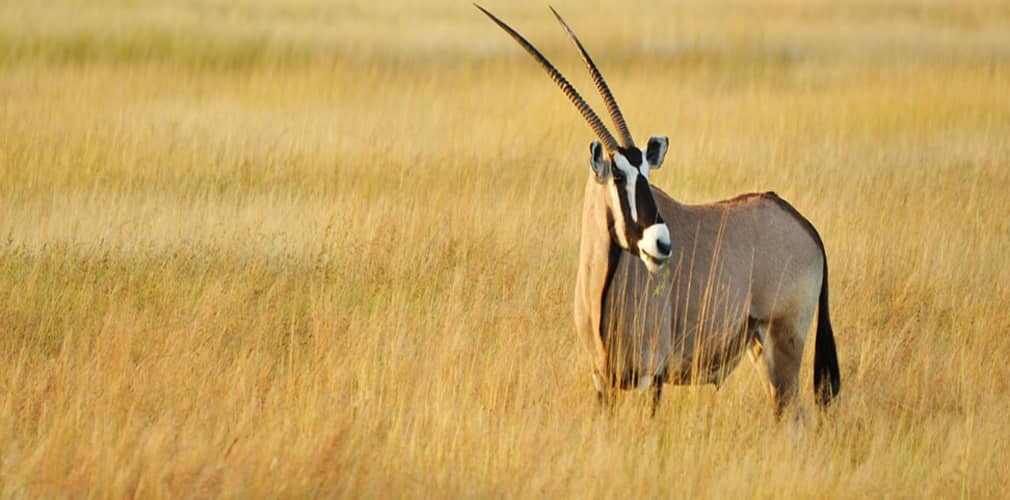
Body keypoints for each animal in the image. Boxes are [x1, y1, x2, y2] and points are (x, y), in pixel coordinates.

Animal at [476, 5, 840, 418]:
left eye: (647, 173)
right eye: (619, 174)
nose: (662, 244)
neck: (602, 286)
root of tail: (805, 226)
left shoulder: (653, 375)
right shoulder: (602, 380)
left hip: (784, 341)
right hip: (762, 350)